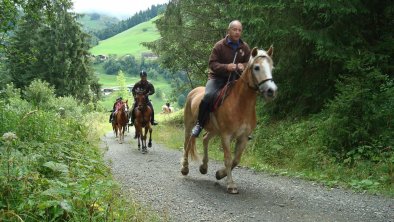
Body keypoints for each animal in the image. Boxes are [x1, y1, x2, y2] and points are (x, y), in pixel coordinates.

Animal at [182, 47, 278, 194]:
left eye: (272, 67)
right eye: (256, 67)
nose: (270, 91)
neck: (241, 104)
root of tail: (194, 91)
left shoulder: (243, 137)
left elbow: (236, 160)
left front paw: (220, 174)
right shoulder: (226, 136)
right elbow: (227, 159)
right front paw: (231, 184)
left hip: (214, 130)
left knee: (205, 139)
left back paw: (204, 167)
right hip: (190, 124)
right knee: (187, 142)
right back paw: (184, 168)